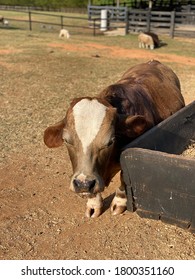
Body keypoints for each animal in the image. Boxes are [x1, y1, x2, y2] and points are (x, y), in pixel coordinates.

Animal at [43, 60, 184, 219]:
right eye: (67, 140)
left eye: (110, 141)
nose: (83, 184)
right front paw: (93, 204)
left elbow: (124, 180)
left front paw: (119, 202)